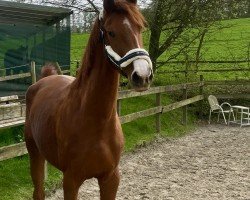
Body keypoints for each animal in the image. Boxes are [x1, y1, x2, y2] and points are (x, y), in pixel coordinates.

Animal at [24, 0, 152, 199]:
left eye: (140, 27)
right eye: (111, 32)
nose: (143, 75)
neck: (96, 121)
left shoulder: (111, 178)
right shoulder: (71, 180)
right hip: (34, 152)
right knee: (38, 191)